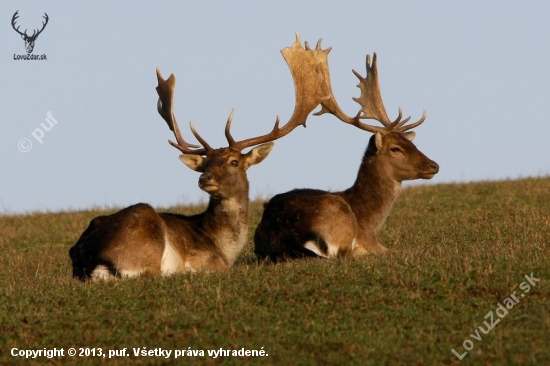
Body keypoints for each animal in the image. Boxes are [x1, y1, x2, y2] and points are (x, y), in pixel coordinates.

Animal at [70, 35, 336, 280]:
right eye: (205, 165)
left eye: (234, 162)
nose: (204, 179)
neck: (224, 248)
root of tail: (92, 260)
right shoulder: (210, 261)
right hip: (145, 233)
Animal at [254, 48, 440, 260]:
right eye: (395, 148)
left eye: (411, 142)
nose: (434, 165)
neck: (368, 220)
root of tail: (289, 236)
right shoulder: (371, 240)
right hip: (338, 215)